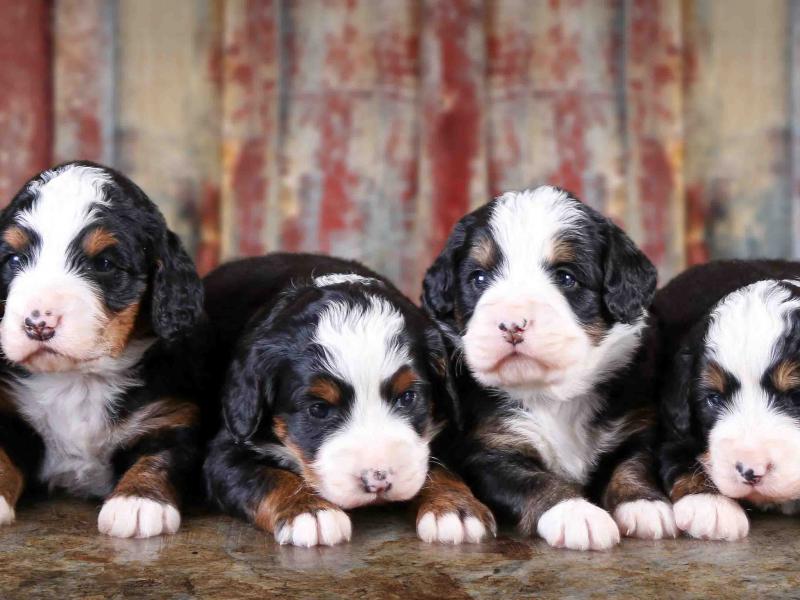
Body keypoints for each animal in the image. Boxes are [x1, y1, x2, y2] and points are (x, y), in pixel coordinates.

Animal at [0, 161, 208, 540]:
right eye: (15, 258)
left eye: (105, 264)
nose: (38, 324)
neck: (78, 381)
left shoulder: (173, 413)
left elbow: (160, 456)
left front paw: (138, 502)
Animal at [203, 255, 494, 548]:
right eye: (319, 409)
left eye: (407, 397)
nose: (378, 481)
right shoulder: (226, 450)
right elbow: (268, 477)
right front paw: (310, 511)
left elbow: (440, 468)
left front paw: (455, 509)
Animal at [418, 186, 676, 548]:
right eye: (478, 278)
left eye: (566, 277)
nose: (512, 324)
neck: (551, 394)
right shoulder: (489, 450)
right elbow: (535, 481)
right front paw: (577, 514)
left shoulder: (636, 424)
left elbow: (633, 464)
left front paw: (645, 503)